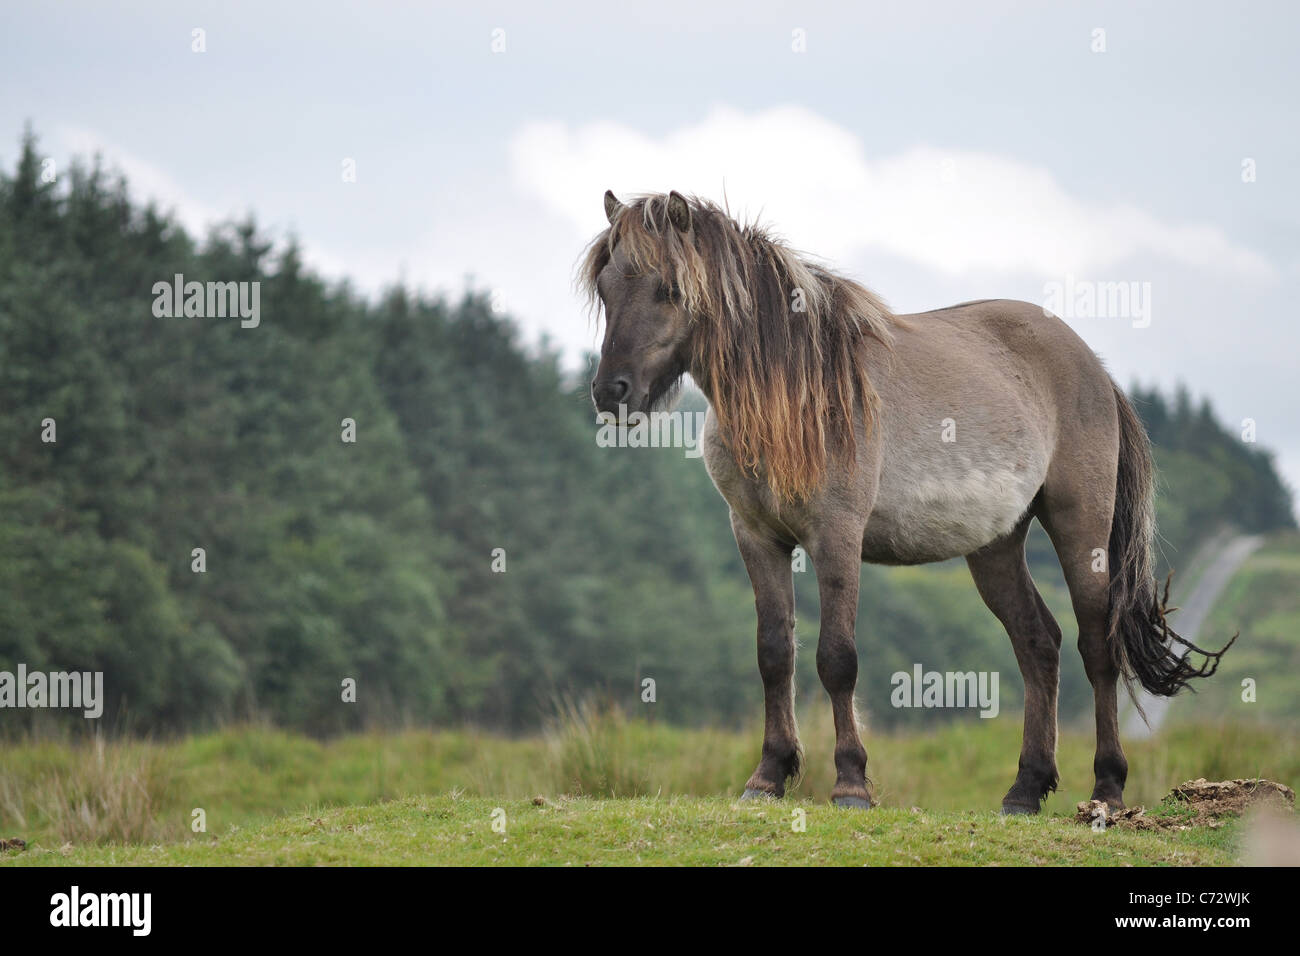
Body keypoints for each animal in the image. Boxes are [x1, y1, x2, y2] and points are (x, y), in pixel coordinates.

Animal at [585, 191, 1232, 811]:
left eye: (670, 288)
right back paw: (1025, 790)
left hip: (1081, 527)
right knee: (1038, 644)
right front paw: (768, 777)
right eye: (605, 287)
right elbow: (774, 654)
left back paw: (1106, 789)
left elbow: (836, 658)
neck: (797, 394)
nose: (611, 391)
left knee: (1097, 646)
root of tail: (1093, 367)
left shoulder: (836, 537)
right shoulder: (756, 536)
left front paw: (851, 784)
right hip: (996, 547)